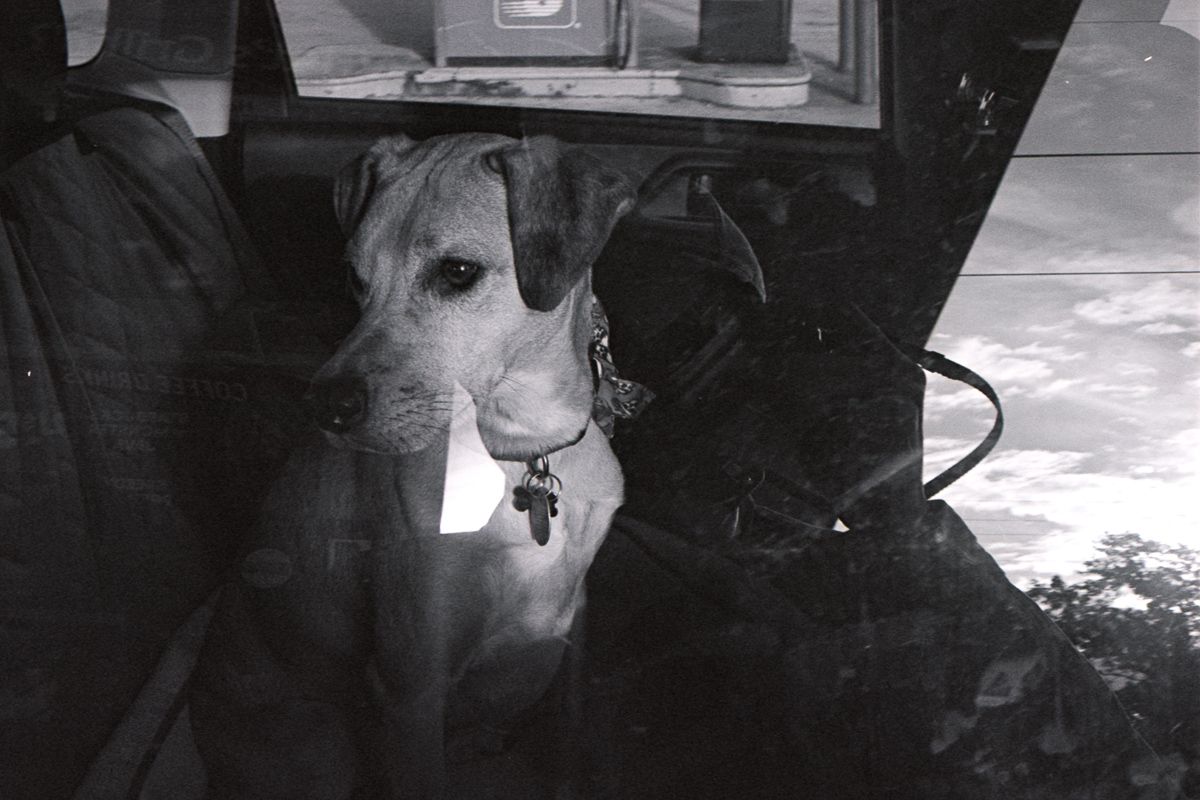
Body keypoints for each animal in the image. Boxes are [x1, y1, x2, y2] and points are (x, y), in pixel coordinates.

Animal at [189, 134, 638, 796]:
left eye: (457, 271)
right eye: (355, 277)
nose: (326, 407)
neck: (521, 453)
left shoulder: (573, 627)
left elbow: (568, 740)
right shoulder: (410, 690)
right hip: (321, 744)